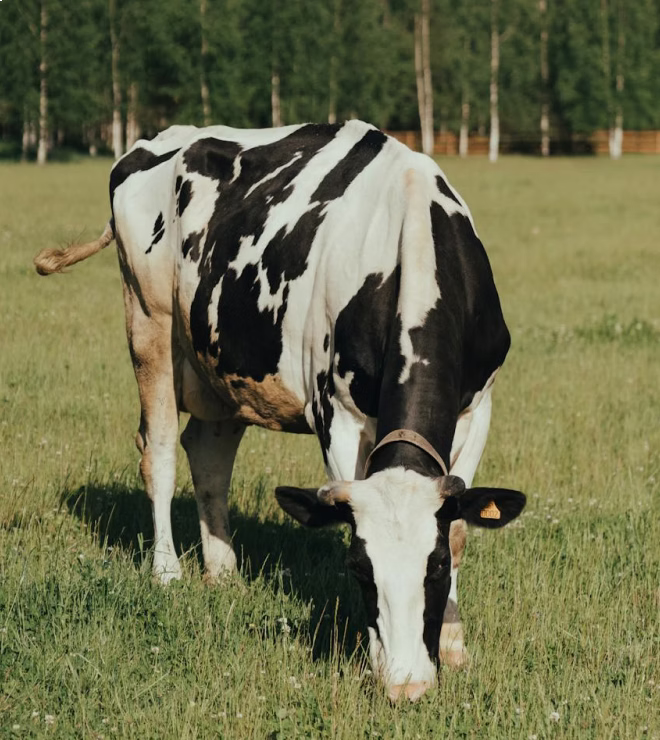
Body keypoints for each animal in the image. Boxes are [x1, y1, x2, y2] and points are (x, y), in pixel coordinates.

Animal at [34, 120, 525, 701]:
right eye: (359, 568)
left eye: (437, 569)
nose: (406, 685)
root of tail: (162, 139)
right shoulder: (336, 413)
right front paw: (376, 660)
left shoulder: (479, 406)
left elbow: (460, 527)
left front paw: (452, 648)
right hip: (148, 321)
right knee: (160, 453)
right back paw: (168, 573)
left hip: (221, 363)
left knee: (208, 454)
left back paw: (223, 572)